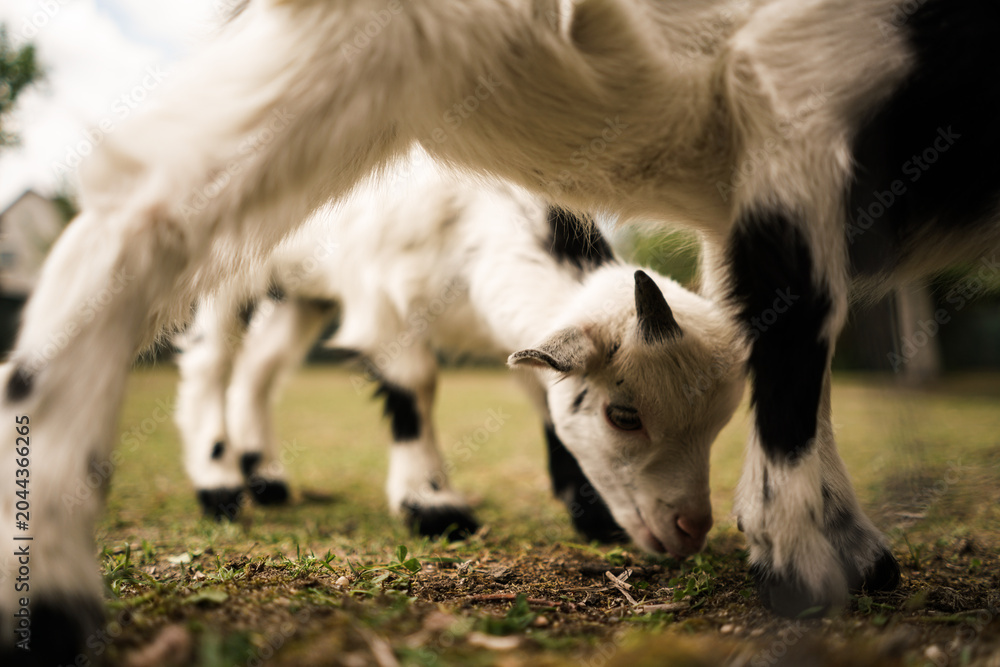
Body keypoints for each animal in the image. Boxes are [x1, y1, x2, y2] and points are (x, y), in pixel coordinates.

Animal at [173, 155, 743, 546]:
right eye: (623, 416)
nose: (691, 527)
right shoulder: (384, 303)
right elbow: (414, 386)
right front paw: (432, 505)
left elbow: (545, 399)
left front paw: (594, 517)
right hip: (229, 256)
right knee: (210, 359)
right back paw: (218, 487)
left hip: (300, 289)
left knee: (261, 366)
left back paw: (266, 478)